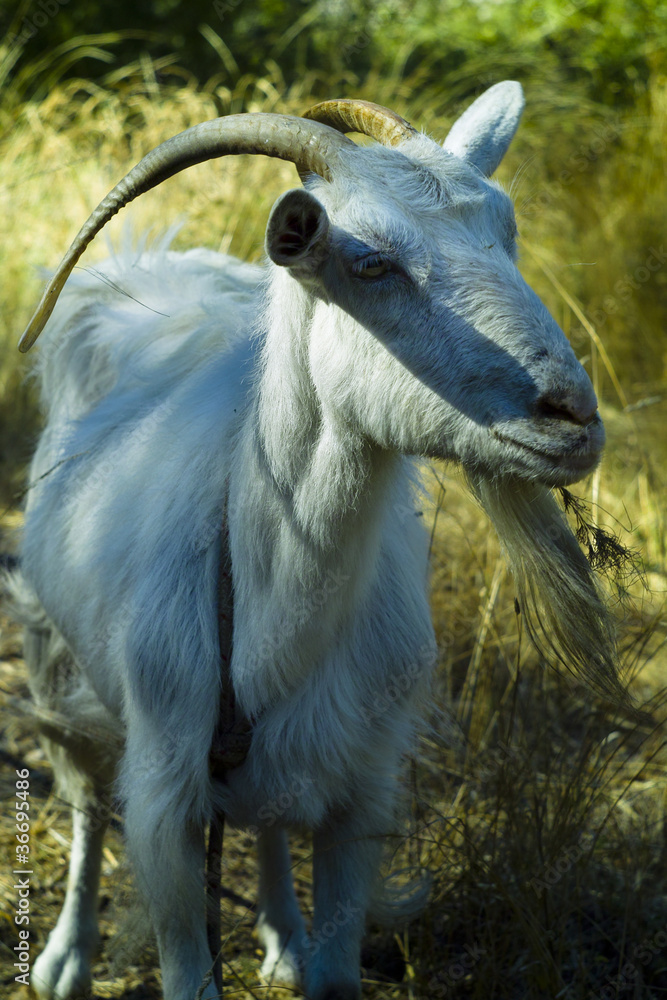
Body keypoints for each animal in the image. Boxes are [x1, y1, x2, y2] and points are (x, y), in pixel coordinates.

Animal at [13, 82, 619, 1000]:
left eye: (506, 230)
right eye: (369, 264)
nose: (572, 417)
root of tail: (155, 264)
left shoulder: (359, 793)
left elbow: (334, 968)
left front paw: (302, 949)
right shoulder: (165, 799)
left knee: (263, 818)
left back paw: (279, 935)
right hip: (54, 652)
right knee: (83, 797)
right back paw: (65, 959)